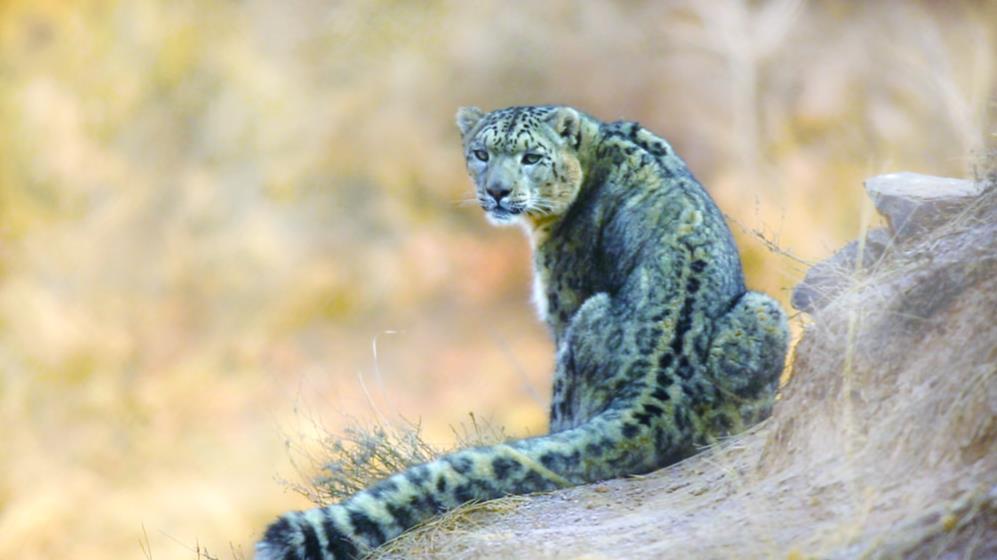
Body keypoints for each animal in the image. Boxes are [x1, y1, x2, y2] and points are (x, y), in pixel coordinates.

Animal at [255, 105, 789, 559]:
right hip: (767, 312)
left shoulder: (561, 299)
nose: (497, 191)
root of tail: (662, 390)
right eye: (481, 152)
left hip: (585, 322)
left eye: (532, 157)